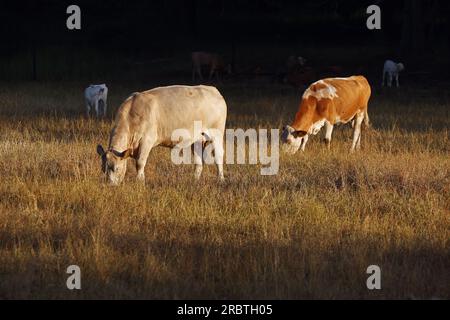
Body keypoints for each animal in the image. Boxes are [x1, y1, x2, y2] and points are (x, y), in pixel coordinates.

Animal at [96, 85, 227, 185]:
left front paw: (140, 181)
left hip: (217, 133)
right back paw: (194, 181)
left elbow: (140, 163)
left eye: (117, 168)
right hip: (198, 139)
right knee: (198, 163)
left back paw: (221, 180)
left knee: (219, 156)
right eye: (103, 169)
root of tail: (214, 90)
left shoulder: (146, 140)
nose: (111, 185)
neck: (131, 115)